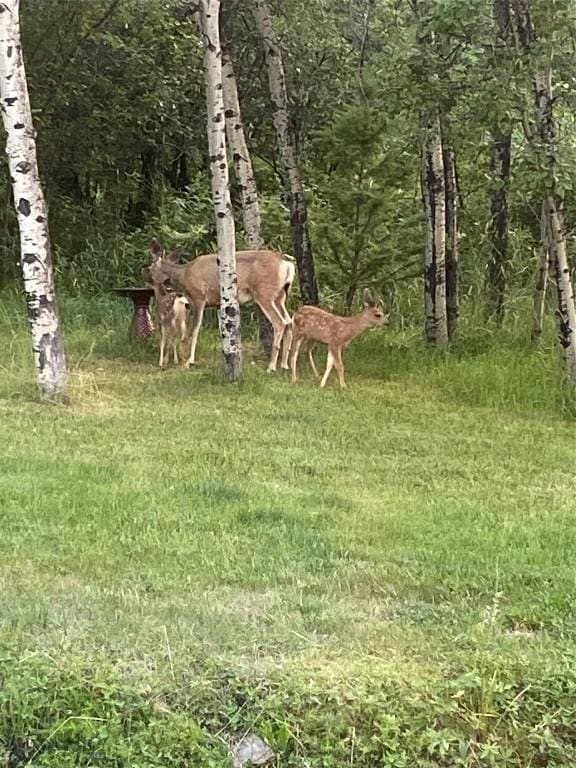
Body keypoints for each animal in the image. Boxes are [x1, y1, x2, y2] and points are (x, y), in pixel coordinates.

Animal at [146, 240, 294, 372]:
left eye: (149, 267)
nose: (145, 276)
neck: (183, 275)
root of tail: (286, 264)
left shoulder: (199, 297)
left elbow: (194, 329)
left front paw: (189, 361)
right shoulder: (218, 303)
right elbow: (222, 330)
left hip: (264, 293)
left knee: (280, 322)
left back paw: (271, 366)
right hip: (280, 296)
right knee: (289, 321)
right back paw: (284, 365)